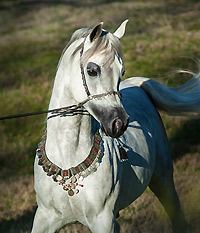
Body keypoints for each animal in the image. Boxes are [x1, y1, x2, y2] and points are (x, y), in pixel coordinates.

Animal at [32, 20, 200, 232]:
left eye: (122, 72)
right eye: (92, 70)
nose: (119, 123)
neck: (68, 159)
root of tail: (138, 84)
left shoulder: (103, 220)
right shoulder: (44, 218)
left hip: (164, 181)